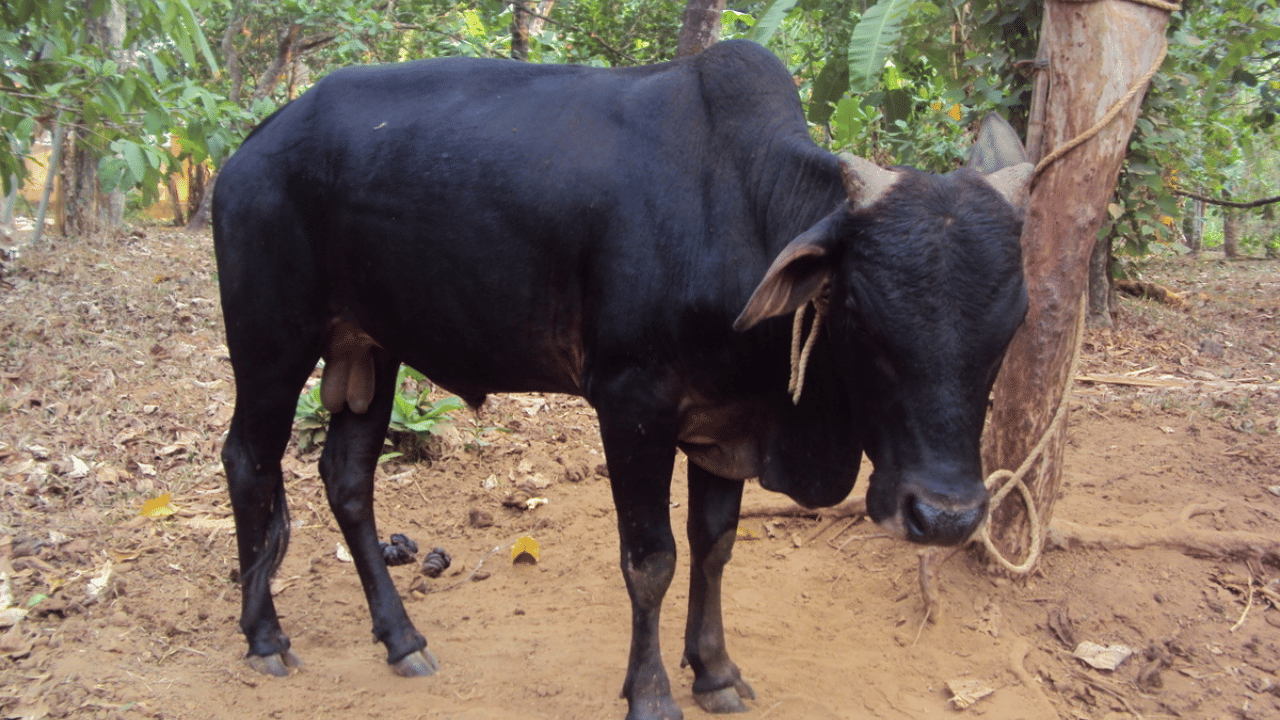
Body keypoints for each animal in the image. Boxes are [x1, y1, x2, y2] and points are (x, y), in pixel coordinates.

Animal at [212, 39, 1032, 720]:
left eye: (1014, 320)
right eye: (859, 309)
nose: (948, 516)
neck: (736, 212)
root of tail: (253, 144)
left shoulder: (724, 422)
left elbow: (715, 545)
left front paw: (715, 673)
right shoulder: (632, 405)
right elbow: (651, 560)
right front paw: (652, 694)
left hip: (371, 349)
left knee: (348, 480)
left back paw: (401, 639)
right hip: (271, 344)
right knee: (248, 462)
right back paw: (265, 638)